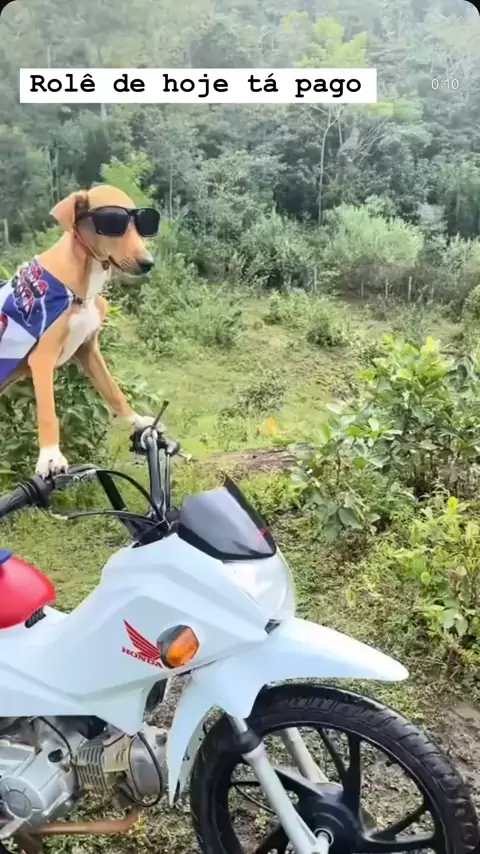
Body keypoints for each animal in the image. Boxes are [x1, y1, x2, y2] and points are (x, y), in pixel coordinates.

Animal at [0, 184, 160, 478]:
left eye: (142, 225)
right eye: (113, 223)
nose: (148, 263)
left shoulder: (89, 350)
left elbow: (114, 392)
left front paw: (138, 422)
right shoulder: (42, 358)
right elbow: (48, 413)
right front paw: (50, 457)